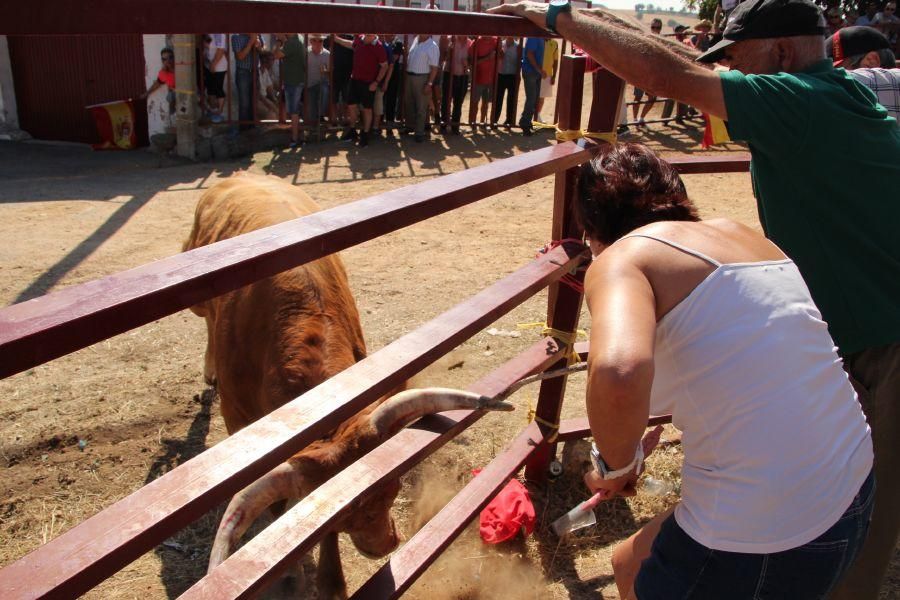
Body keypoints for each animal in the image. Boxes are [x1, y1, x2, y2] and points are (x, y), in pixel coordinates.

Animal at [185, 175, 506, 600]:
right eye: (349, 519)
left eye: (393, 487)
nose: (385, 545)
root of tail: (241, 176)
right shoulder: (240, 422)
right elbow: (283, 512)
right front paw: (294, 575)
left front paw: (331, 581)